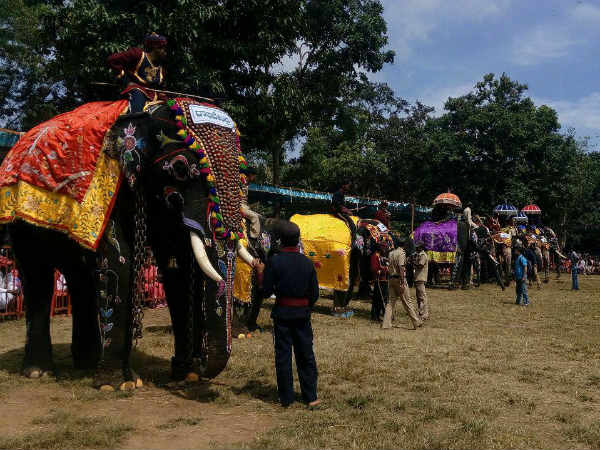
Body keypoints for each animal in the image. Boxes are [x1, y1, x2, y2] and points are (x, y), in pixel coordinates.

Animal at [0, 98, 256, 389]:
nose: (201, 364)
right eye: (180, 169)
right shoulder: (111, 187)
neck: (146, 112)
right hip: (20, 218)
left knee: (80, 277)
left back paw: (87, 363)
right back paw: (40, 371)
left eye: (244, 180)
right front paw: (118, 384)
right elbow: (120, 262)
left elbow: (177, 266)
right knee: (37, 276)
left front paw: (185, 374)